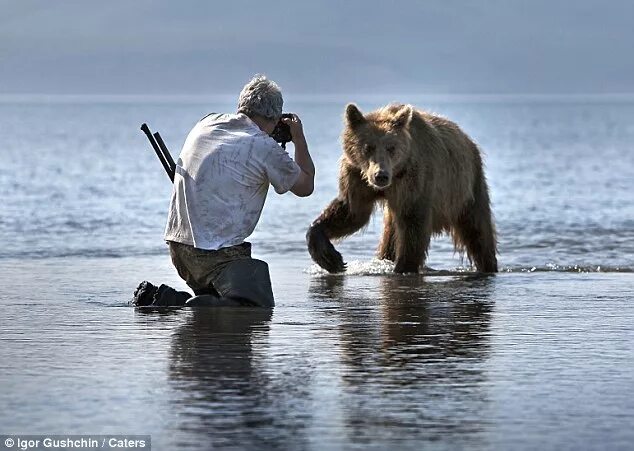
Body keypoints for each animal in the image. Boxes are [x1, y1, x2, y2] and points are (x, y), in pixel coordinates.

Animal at [304, 104, 494, 274]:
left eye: (391, 147)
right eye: (368, 147)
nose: (380, 175)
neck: (394, 176)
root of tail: (469, 141)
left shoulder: (414, 180)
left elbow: (413, 224)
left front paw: (403, 267)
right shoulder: (357, 177)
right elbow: (352, 212)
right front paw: (330, 258)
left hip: (467, 186)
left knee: (478, 231)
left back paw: (488, 264)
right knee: (390, 237)